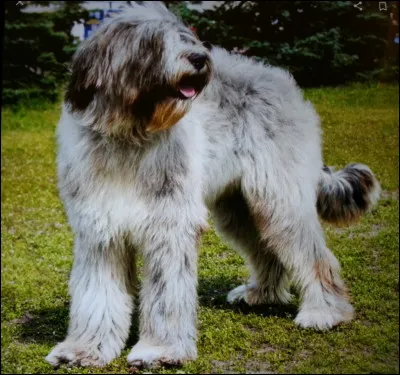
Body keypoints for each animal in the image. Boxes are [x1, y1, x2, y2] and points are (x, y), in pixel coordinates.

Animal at [46, 0, 382, 370]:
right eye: (152, 43)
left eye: (184, 35)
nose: (198, 58)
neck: (130, 134)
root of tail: (283, 82)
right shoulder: (99, 232)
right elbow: (97, 295)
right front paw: (84, 349)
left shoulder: (168, 225)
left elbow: (166, 295)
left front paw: (160, 350)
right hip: (238, 206)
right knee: (267, 250)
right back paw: (260, 294)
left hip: (279, 198)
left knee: (313, 256)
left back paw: (325, 312)